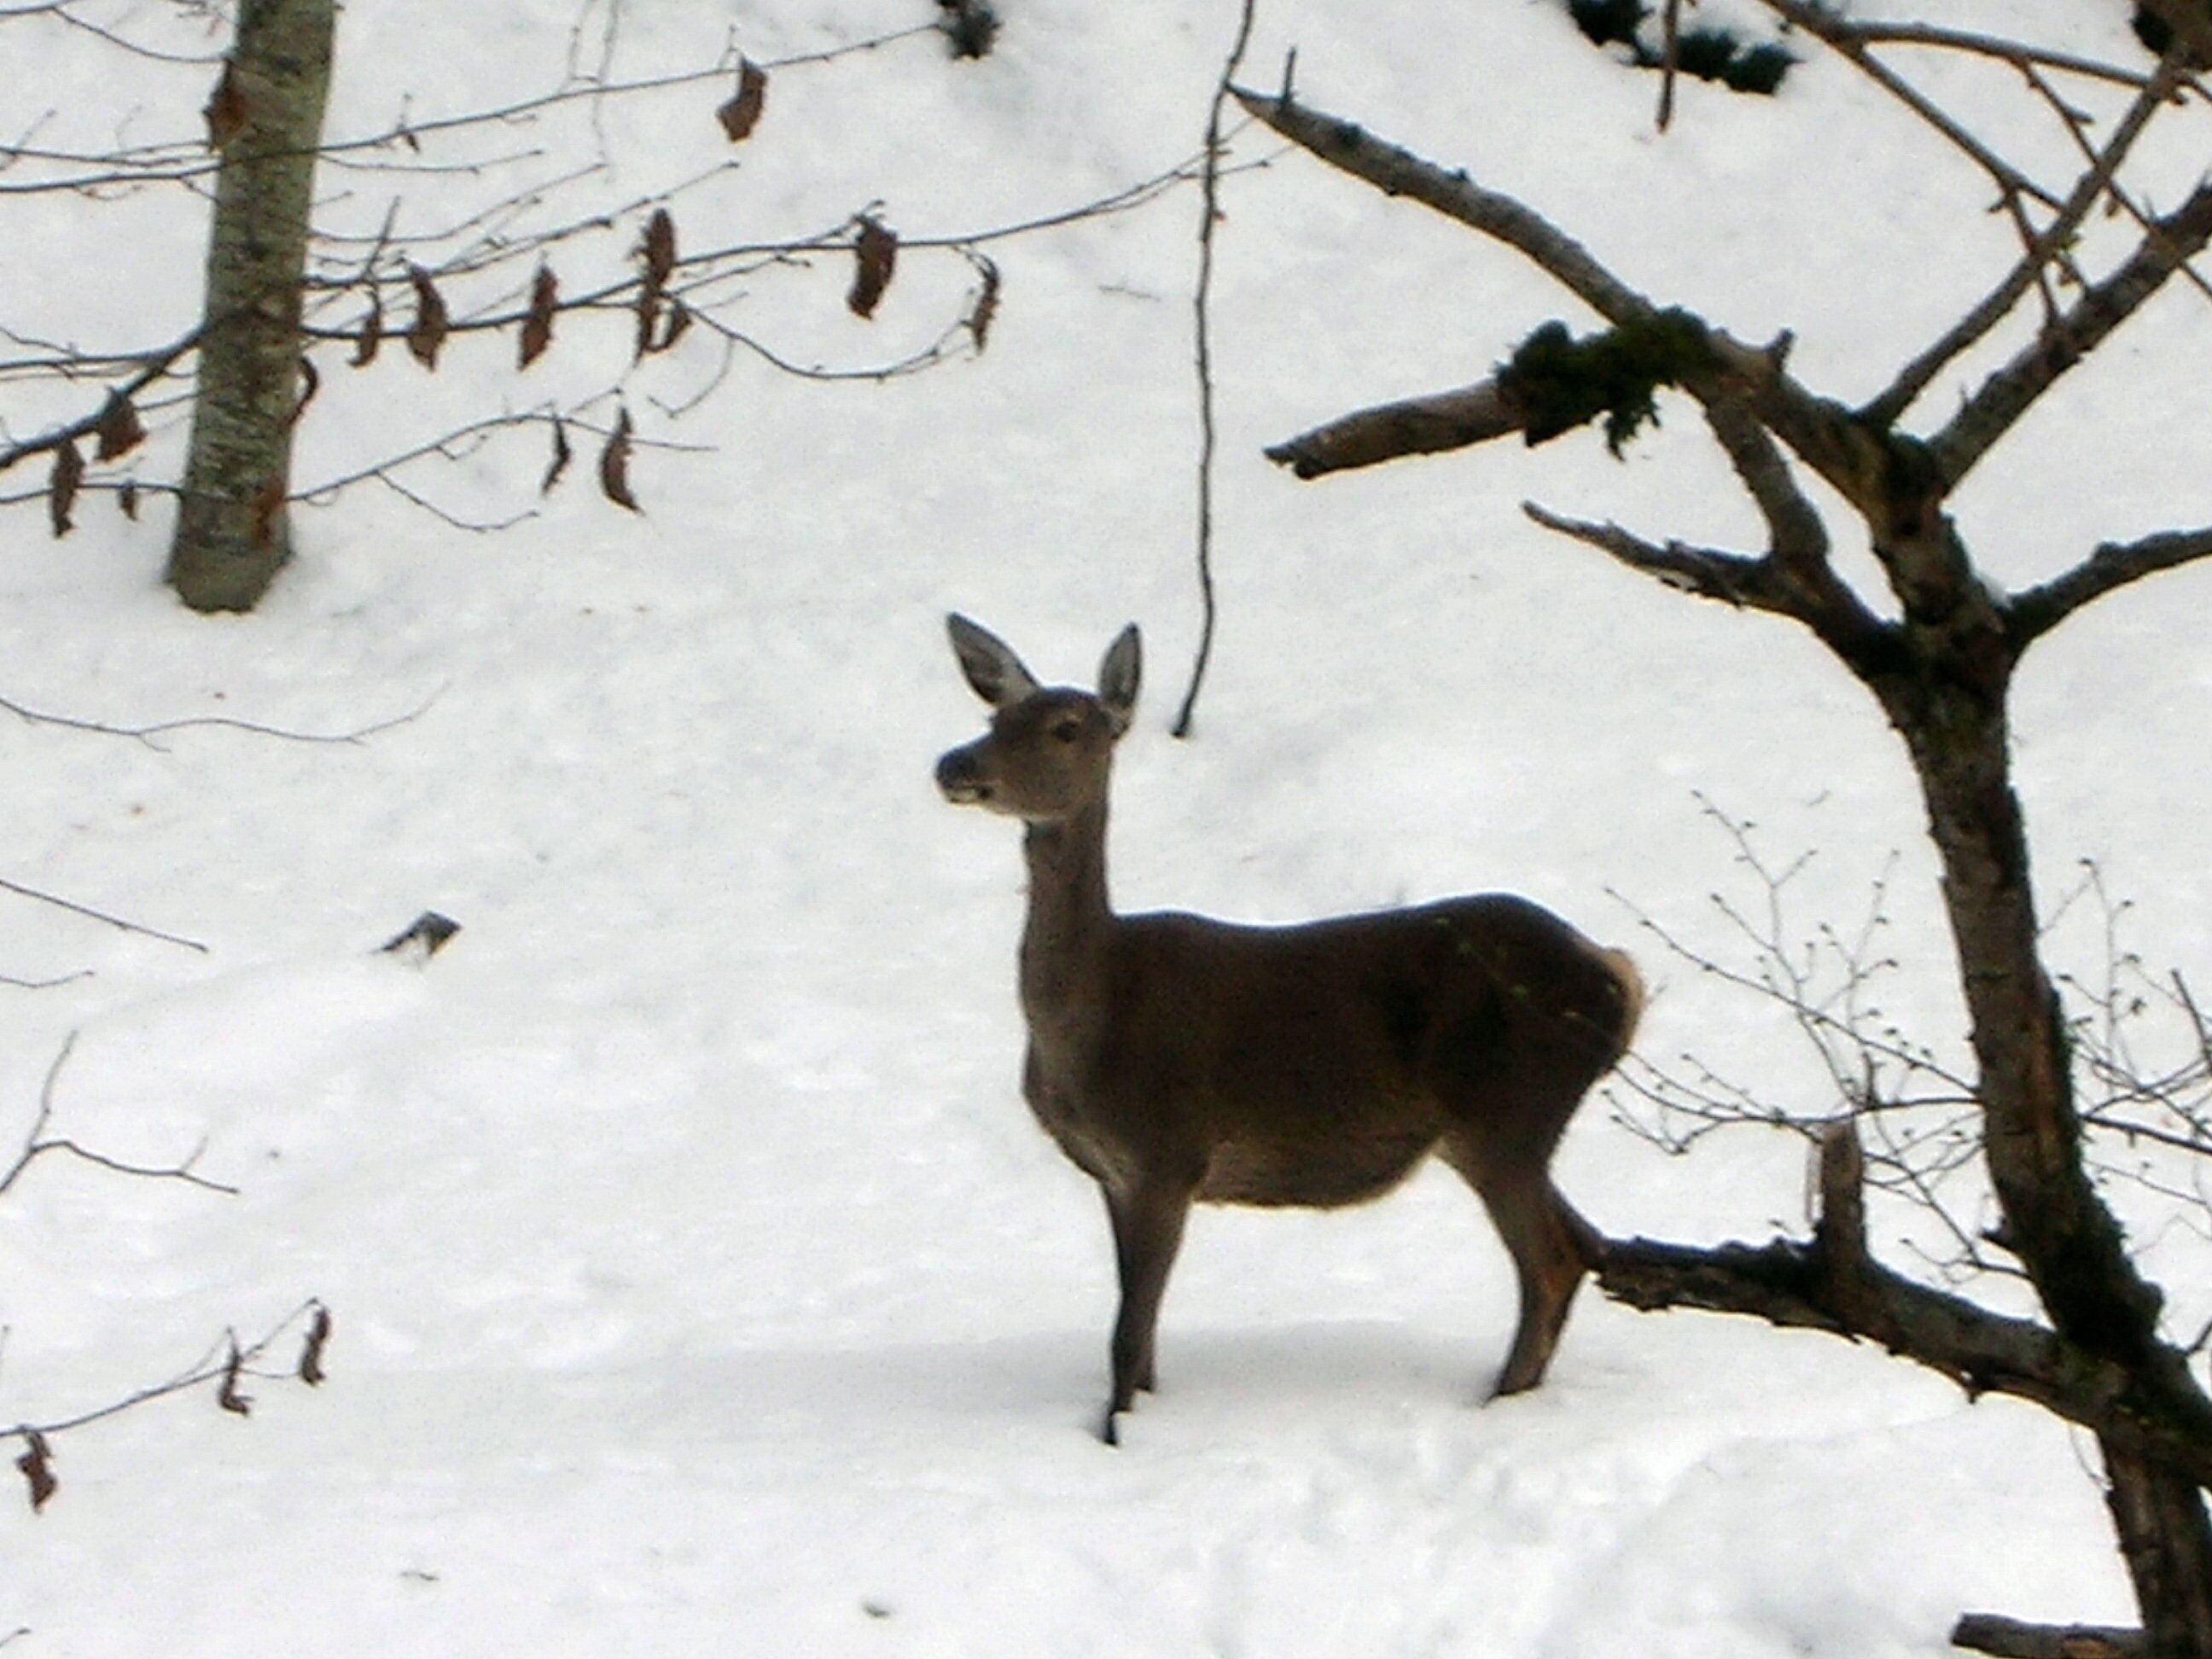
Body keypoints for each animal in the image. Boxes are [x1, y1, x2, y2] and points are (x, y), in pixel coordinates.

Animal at [934, 614, 1643, 1444]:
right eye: (993, 719)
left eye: (1066, 727)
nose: (954, 764)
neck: (1087, 1024)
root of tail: (1617, 976)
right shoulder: (1114, 1173)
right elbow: (1141, 1332)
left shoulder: (1169, 1152)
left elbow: (1128, 1332)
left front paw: (1117, 1437)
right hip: (1504, 1133)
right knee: (1585, 1242)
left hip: (1507, 1114)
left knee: (1553, 1260)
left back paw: (1497, 1403)